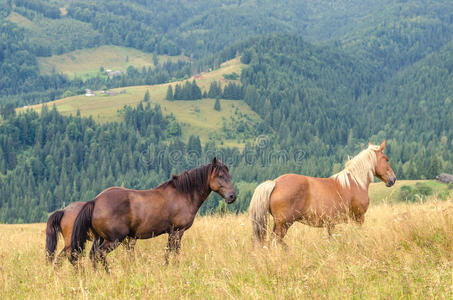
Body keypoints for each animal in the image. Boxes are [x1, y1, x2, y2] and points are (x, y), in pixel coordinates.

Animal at [69, 158, 237, 270]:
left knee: (93, 256)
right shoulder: (177, 232)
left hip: (100, 238)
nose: (232, 197)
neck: (183, 194)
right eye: (220, 176)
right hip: (113, 239)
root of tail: (95, 201)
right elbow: (173, 253)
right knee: (100, 254)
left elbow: (169, 253)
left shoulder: (172, 233)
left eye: (229, 175)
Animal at [249, 142, 394, 245]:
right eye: (386, 159)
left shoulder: (331, 224)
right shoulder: (358, 218)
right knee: (275, 241)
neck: (355, 182)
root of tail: (275, 183)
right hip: (283, 224)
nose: (393, 179)